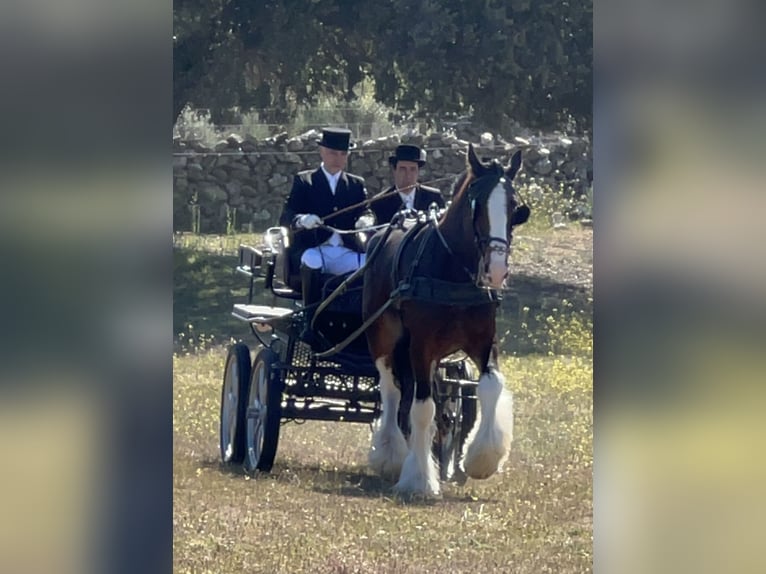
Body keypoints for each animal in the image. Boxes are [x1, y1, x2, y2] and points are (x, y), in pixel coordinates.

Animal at [364, 145, 532, 500]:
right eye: (476, 204)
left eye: (515, 207)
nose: (497, 271)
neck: (454, 271)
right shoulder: (421, 346)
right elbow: (422, 408)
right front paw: (419, 479)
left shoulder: (485, 342)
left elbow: (490, 387)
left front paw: (482, 459)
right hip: (383, 338)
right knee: (391, 391)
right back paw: (391, 455)